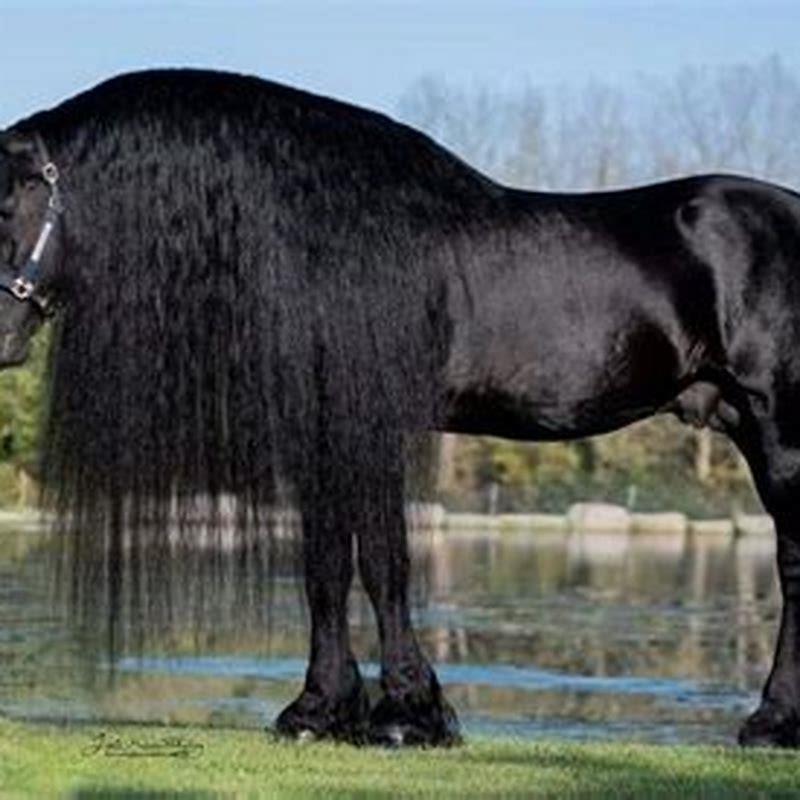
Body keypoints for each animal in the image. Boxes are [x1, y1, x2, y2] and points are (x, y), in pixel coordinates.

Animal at [1, 68, 800, 749]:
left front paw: (407, 716)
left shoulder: (371, 425)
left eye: (6, 205)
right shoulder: (323, 432)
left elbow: (385, 561)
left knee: (792, 561)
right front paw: (317, 710)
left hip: (777, 428)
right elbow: (326, 565)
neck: (316, 241)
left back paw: (771, 724)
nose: (2, 339)